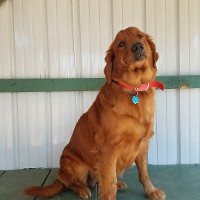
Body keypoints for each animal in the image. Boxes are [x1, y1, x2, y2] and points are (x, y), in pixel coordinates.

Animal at [25, 27, 166, 200]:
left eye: (139, 36)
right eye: (120, 44)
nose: (138, 46)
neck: (134, 89)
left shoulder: (143, 143)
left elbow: (143, 173)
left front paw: (151, 191)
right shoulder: (109, 148)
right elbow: (109, 181)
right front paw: (109, 195)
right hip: (76, 166)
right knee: (69, 183)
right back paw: (82, 189)